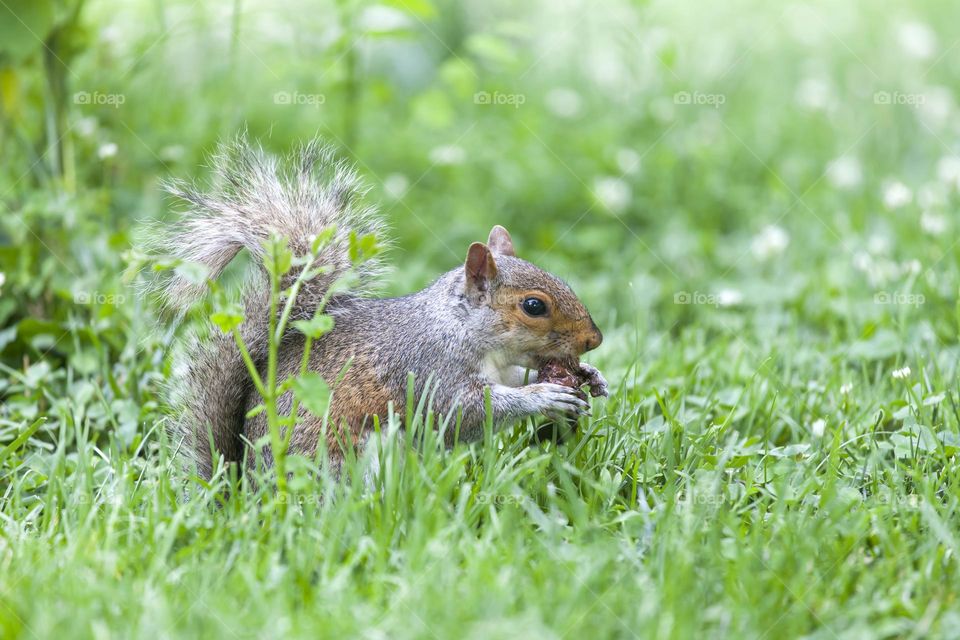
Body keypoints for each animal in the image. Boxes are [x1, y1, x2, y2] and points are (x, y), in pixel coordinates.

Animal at [159, 140, 608, 480]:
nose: (594, 340)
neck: (458, 327)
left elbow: (514, 378)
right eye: (534, 306)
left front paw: (590, 377)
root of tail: (246, 491)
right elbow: (465, 412)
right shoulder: (427, 369)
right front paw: (543, 395)